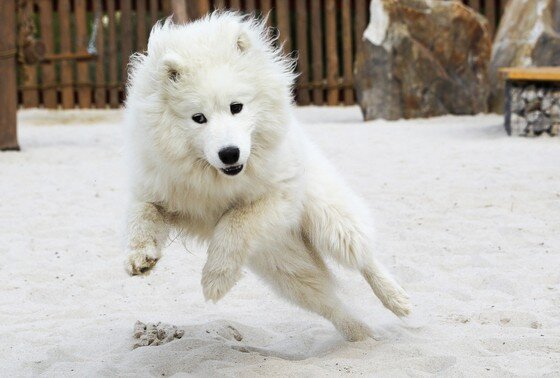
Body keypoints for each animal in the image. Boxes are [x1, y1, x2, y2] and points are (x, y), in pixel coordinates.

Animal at [123, 13, 412, 342]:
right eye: (198, 118)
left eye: (236, 107)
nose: (230, 154)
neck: (215, 177)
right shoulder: (161, 190)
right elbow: (142, 216)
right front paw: (140, 257)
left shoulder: (280, 195)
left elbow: (233, 222)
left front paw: (215, 278)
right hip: (286, 270)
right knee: (330, 303)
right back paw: (360, 335)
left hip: (330, 221)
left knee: (363, 258)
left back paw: (398, 300)